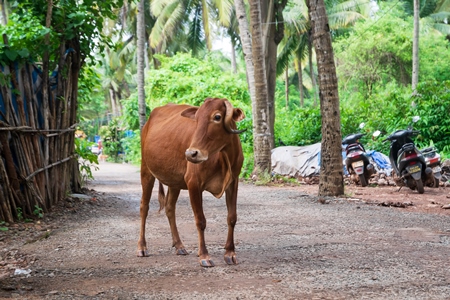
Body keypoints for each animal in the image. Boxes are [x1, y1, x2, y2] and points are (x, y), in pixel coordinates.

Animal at [138, 98, 246, 268]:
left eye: (217, 117)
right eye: (196, 118)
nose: (191, 154)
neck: (223, 157)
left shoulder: (233, 182)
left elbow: (232, 217)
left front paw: (230, 253)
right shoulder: (193, 183)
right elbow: (200, 220)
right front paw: (204, 256)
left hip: (174, 181)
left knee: (170, 208)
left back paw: (179, 246)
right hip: (146, 170)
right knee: (144, 207)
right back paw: (142, 247)